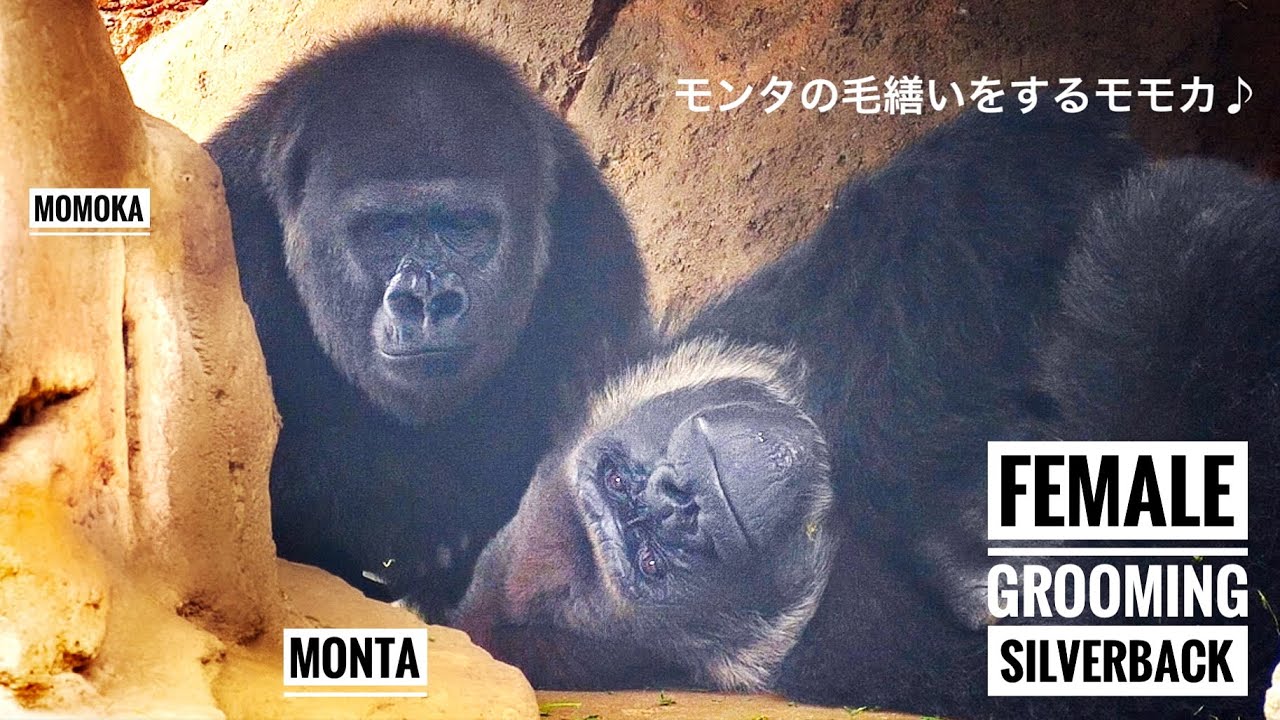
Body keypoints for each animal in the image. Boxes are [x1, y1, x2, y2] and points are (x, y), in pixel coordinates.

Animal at [454, 103, 1280, 719]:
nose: (675, 502)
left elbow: (979, 179)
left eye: (621, 485)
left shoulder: (762, 311)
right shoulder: (858, 647)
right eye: (653, 561)